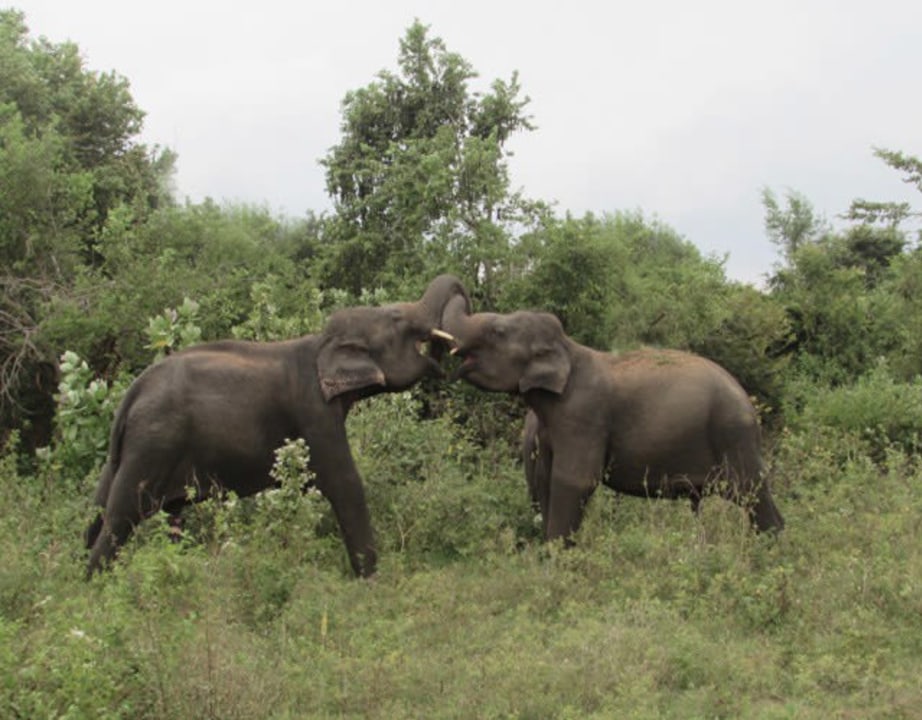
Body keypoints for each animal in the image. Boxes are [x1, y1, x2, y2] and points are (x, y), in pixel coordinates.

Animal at [84, 275, 470, 579]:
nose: (445, 352)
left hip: (127, 455)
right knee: (118, 522)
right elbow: (344, 483)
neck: (321, 342)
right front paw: (372, 582)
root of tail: (132, 393)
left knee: (105, 515)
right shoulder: (313, 411)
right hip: (153, 444)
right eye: (398, 319)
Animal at [442, 297, 784, 542]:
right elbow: (544, 478)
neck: (569, 348)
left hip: (733, 434)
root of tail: (748, 400)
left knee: (753, 493)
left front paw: (557, 561)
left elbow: (574, 479)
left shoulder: (583, 415)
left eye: (497, 332)